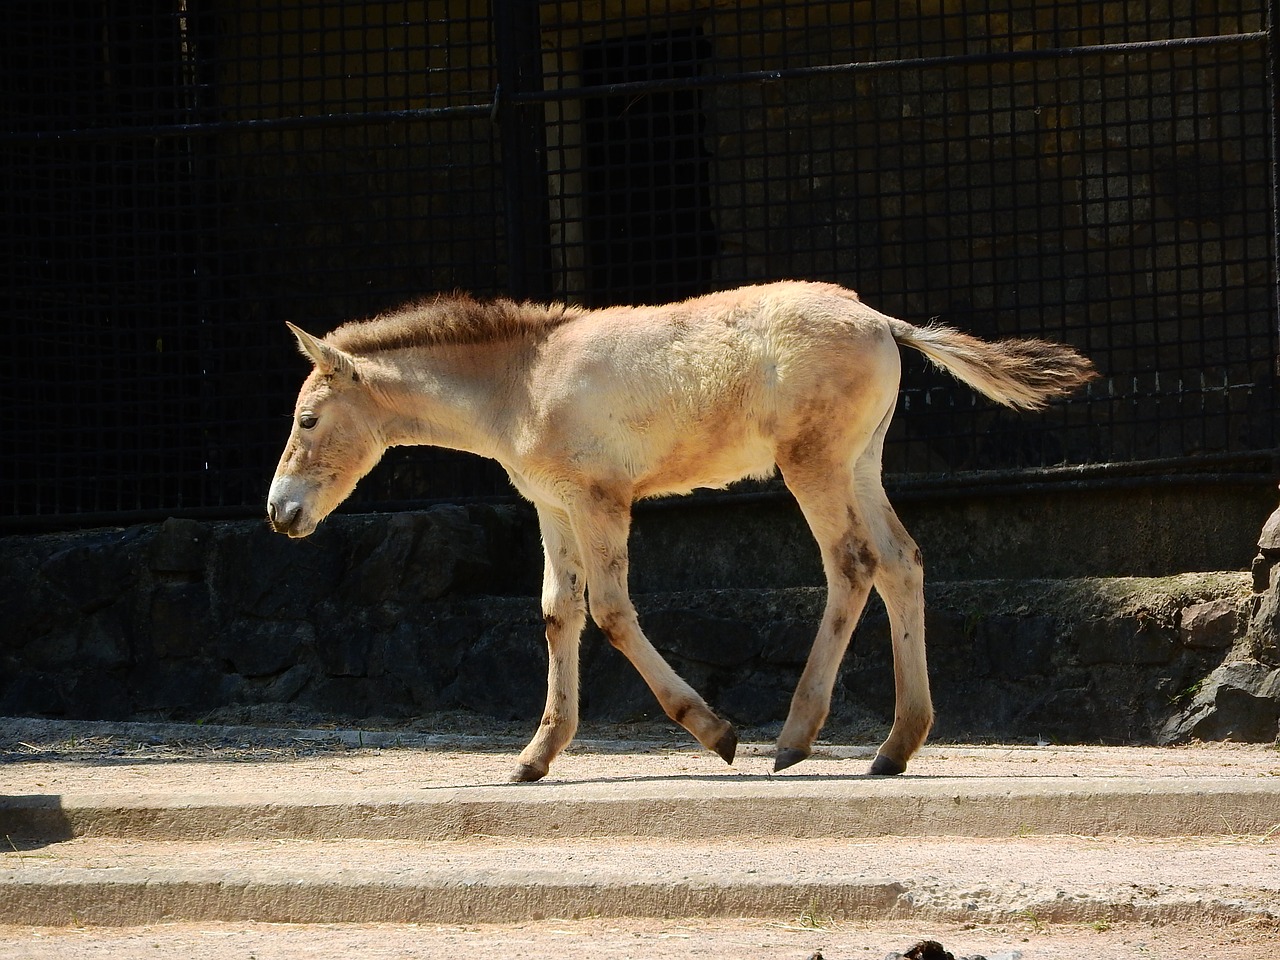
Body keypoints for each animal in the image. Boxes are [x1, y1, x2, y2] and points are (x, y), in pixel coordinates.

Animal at [264, 277, 1095, 783]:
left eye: (306, 419)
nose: (279, 512)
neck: (520, 382)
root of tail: (881, 320)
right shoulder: (552, 508)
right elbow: (557, 615)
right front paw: (535, 757)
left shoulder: (600, 501)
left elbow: (609, 611)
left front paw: (713, 730)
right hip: (861, 463)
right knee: (902, 561)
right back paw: (895, 746)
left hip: (815, 464)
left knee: (852, 564)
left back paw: (794, 739)